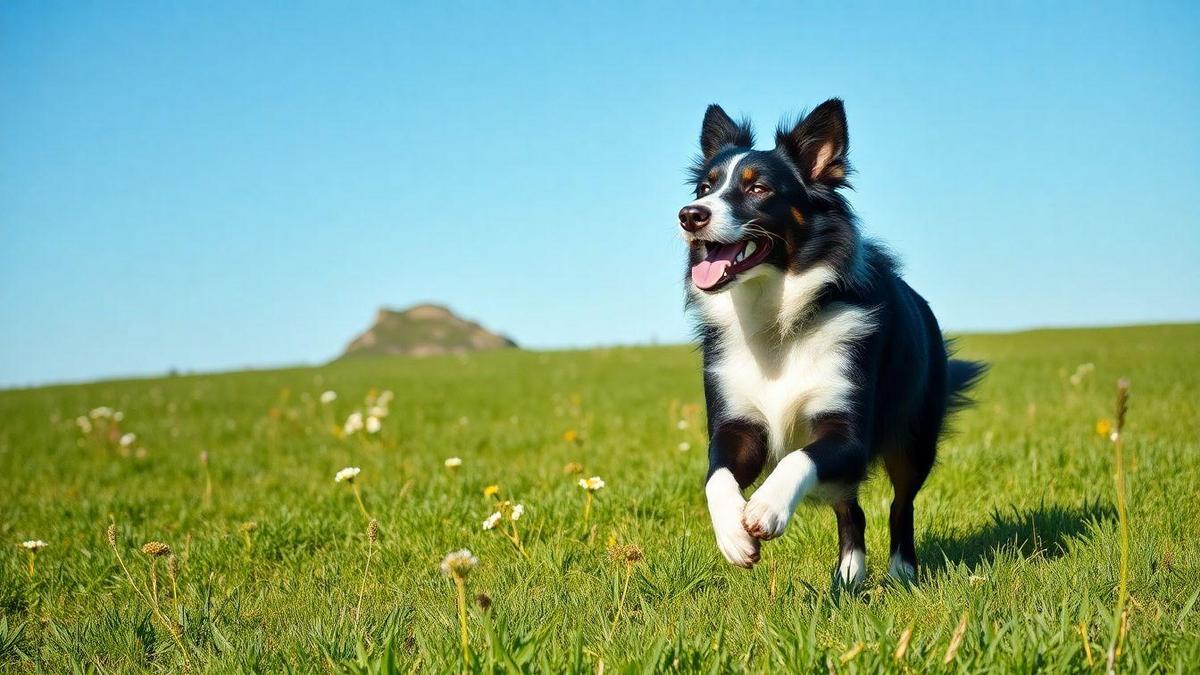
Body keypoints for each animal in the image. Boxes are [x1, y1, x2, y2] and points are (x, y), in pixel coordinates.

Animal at [681, 97, 979, 581]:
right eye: (703, 188)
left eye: (758, 188)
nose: (689, 216)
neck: (778, 322)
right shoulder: (737, 425)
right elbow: (716, 475)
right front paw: (732, 536)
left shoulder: (848, 432)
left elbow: (797, 458)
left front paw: (766, 507)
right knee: (849, 507)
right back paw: (850, 574)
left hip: (915, 438)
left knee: (901, 504)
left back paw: (902, 571)